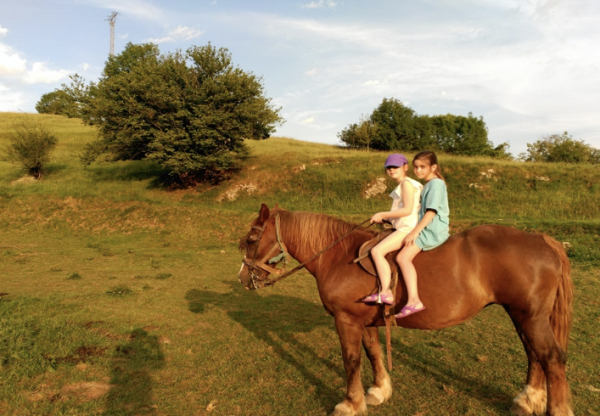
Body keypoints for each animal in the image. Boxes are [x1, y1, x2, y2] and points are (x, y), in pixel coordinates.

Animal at [237, 205, 576, 416]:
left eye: (252, 238)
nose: (242, 278)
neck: (338, 256)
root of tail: (540, 238)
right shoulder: (365, 321)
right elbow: (373, 353)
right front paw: (379, 391)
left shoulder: (345, 321)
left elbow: (351, 361)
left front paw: (350, 403)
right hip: (522, 315)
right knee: (534, 355)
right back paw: (528, 399)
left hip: (530, 317)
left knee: (550, 357)